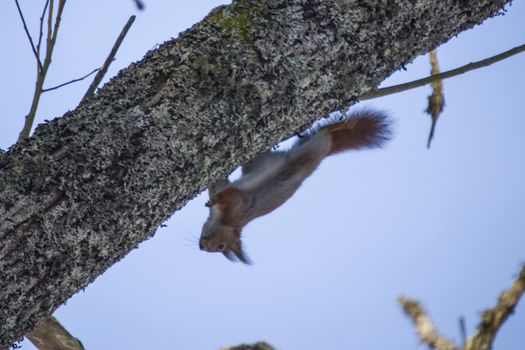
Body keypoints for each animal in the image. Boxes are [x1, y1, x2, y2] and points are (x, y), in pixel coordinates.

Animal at [196, 108, 388, 262]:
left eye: (221, 246)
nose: (201, 247)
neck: (224, 222)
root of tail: (325, 153)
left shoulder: (238, 206)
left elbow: (230, 195)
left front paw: (214, 200)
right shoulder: (223, 189)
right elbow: (217, 183)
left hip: (313, 150)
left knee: (326, 134)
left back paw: (344, 125)